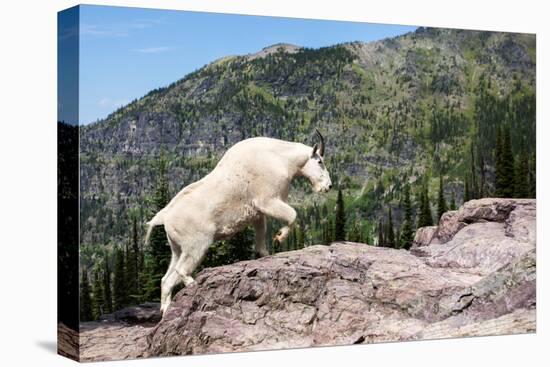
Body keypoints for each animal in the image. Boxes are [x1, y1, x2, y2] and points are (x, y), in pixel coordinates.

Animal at [146, 129, 332, 314]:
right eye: (320, 161)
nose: (328, 186)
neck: (282, 159)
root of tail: (165, 218)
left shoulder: (258, 213)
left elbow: (261, 236)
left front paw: (264, 254)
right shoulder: (267, 200)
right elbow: (293, 215)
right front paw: (279, 237)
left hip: (177, 248)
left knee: (166, 279)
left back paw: (165, 310)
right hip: (196, 244)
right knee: (181, 269)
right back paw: (192, 284)